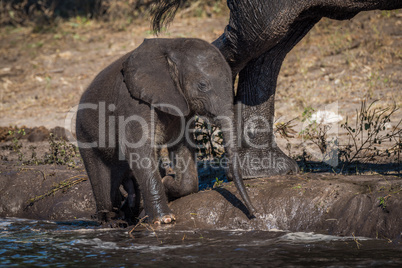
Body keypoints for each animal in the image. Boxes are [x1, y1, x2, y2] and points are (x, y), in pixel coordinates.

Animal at [75, 37, 254, 225]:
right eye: (202, 85)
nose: (253, 213)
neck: (172, 45)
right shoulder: (132, 102)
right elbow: (138, 150)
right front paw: (164, 219)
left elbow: (182, 147)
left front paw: (167, 182)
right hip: (84, 132)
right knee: (99, 175)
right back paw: (111, 220)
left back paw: (129, 212)